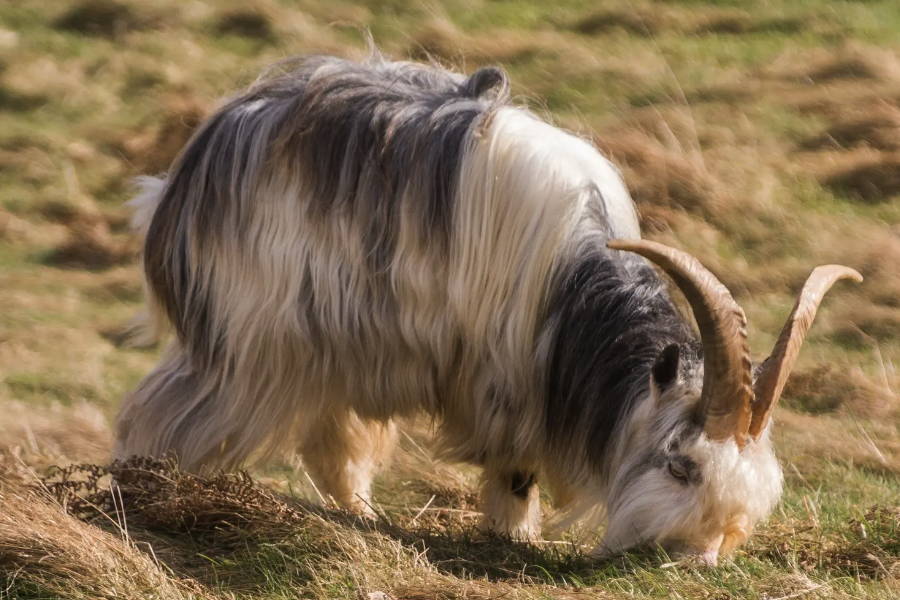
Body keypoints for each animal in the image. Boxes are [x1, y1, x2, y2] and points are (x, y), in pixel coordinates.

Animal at [116, 50, 860, 564]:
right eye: (682, 465)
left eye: (757, 484)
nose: (700, 558)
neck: (570, 284)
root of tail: (181, 179)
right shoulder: (507, 379)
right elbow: (515, 469)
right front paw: (514, 537)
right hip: (252, 339)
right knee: (161, 415)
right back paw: (151, 496)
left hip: (333, 345)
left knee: (332, 447)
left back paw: (362, 520)